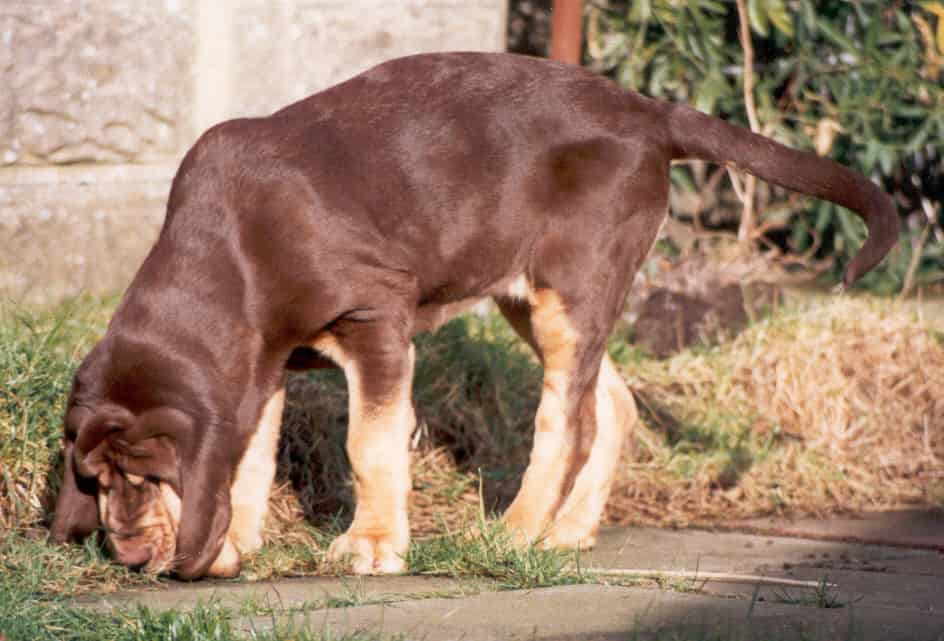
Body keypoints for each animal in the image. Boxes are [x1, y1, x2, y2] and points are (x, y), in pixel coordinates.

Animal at [48, 52, 896, 576]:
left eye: (145, 474)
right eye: (94, 479)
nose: (127, 555)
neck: (231, 257)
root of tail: (648, 111)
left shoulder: (376, 320)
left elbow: (370, 444)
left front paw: (372, 547)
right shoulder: (259, 364)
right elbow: (251, 455)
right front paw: (242, 543)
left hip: (570, 287)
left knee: (568, 419)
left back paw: (518, 531)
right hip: (536, 294)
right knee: (611, 402)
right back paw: (566, 531)